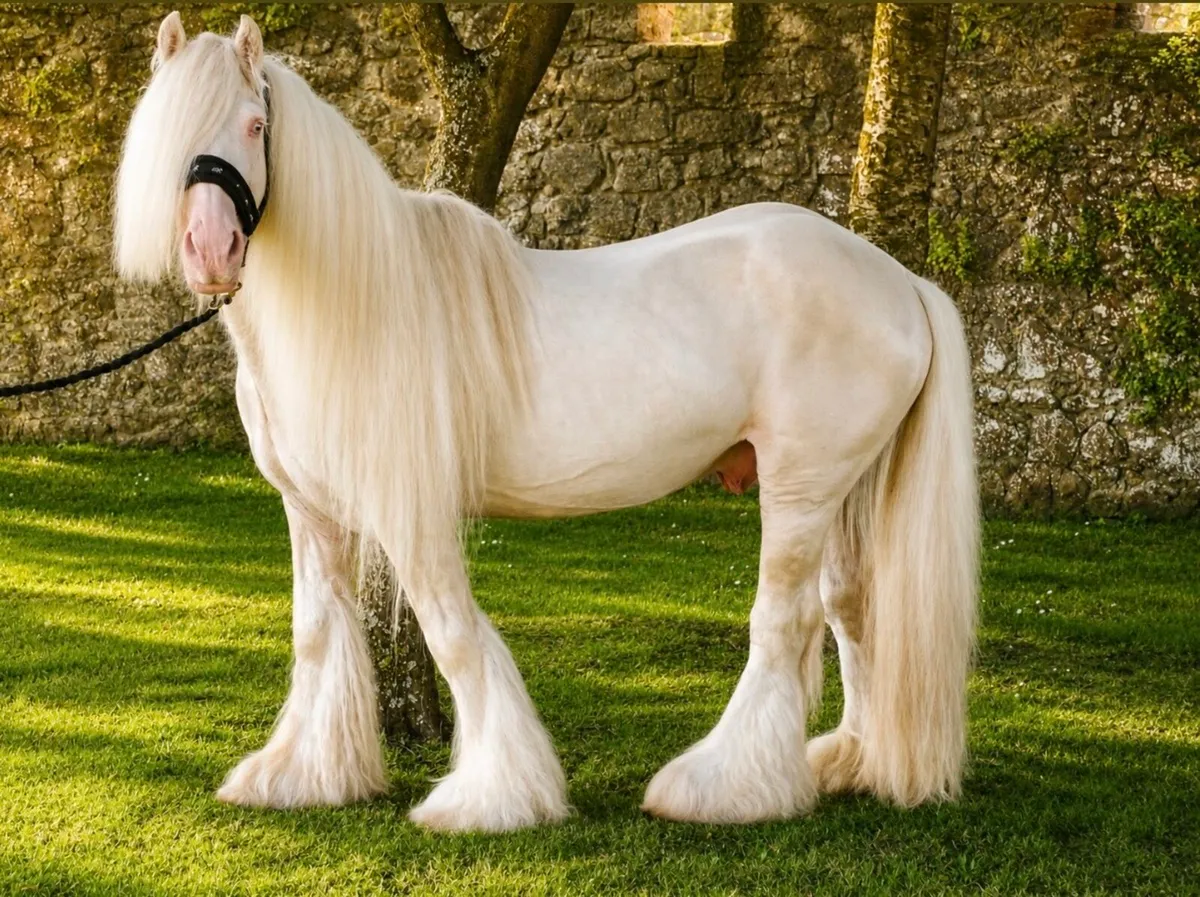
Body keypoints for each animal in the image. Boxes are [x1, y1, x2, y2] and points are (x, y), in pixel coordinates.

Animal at [113, 13, 978, 832]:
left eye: (255, 125)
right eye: (164, 128)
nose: (211, 249)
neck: (350, 304)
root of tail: (900, 281)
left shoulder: (411, 513)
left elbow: (454, 633)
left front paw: (492, 796)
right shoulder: (311, 509)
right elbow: (318, 634)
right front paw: (300, 776)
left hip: (801, 485)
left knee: (785, 620)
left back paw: (720, 787)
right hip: (840, 490)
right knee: (850, 610)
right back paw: (850, 760)